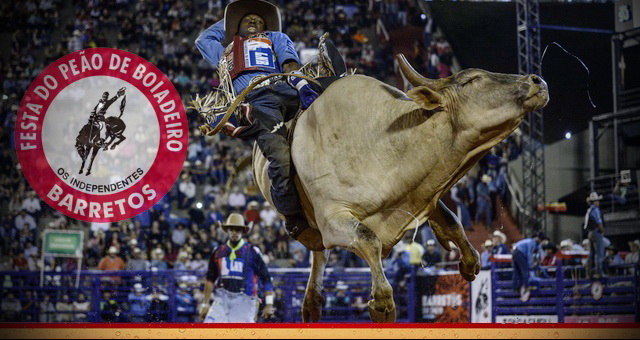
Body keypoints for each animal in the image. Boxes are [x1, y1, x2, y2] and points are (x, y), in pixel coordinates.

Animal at [252, 54, 548, 322]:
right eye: (472, 80)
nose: (537, 80)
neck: (384, 142)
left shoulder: (424, 190)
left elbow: (452, 220)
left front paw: (469, 261)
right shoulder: (333, 218)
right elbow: (368, 239)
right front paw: (382, 303)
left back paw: (312, 306)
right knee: (320, 251)